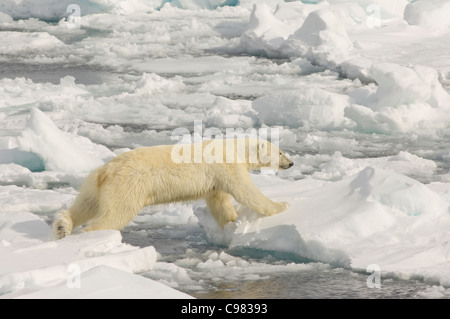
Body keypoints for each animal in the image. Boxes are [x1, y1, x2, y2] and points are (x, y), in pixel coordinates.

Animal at [52, 138, 294, 240]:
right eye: (280, 151)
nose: (291, 163)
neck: (235, 147)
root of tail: (107, 171)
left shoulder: (215, 180)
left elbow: (219, 201)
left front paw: (231, 222)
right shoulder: (227, 165)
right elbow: (246, 191)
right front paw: (282, 205)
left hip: (95, 183)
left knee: (86, 204)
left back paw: (62, 227)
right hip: (128, 184)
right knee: (115, 213)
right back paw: (91, 234)